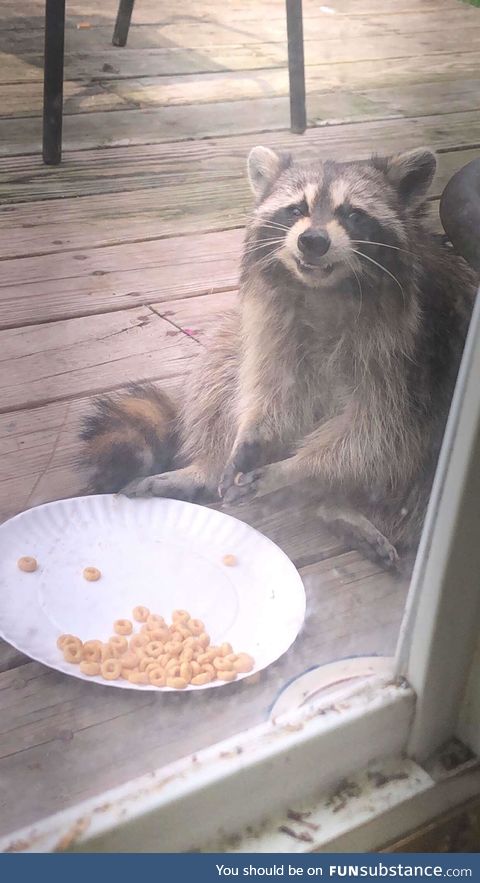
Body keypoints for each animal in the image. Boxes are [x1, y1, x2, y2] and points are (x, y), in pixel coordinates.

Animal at [79, 145, 476, 568]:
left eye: (353, 214)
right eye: (296, 208)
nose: (312, 241)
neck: (324, 288)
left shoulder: (413, 350)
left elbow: (378, 430)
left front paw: (294, 468)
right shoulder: (274, 317)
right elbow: (271, 384)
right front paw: (248, 439)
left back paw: (337, 506)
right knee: (221, 361)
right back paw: (207, 467)